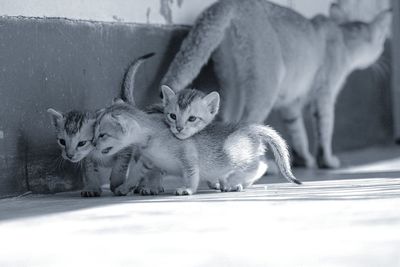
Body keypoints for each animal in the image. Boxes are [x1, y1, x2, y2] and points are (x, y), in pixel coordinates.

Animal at [46, 53, 154, 198]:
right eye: (62, 141)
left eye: (82, 143)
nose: (69, 155)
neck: (97, 150)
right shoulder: (87, 159)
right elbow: (90, 172)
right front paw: (92, 187)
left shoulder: (126, 149)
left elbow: (120, 167)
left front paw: (117, 184)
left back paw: (144, 185)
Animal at [93, 86, 300, 197]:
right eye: (94, 131)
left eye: (102, 135)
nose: (93, 144)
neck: (153, 136)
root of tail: (250, 128)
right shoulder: (147, 160)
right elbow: (135, 173)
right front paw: (124, 187)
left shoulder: (188, 156)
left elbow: (191, 174)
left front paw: (187, 189)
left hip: (234, 156)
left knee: (260, 166)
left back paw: (234, 183)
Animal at [161, 1, 392, 169]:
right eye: (382, 44)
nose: (382, 55)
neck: (341, 37)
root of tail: (228, 3)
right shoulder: (324, 96)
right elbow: (325, 130)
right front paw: (327, 161)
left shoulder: (291, 103)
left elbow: (298, 132)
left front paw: (304, 159)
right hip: (265, 88)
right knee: (246, 126)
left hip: (232, 84)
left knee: (225, 122)